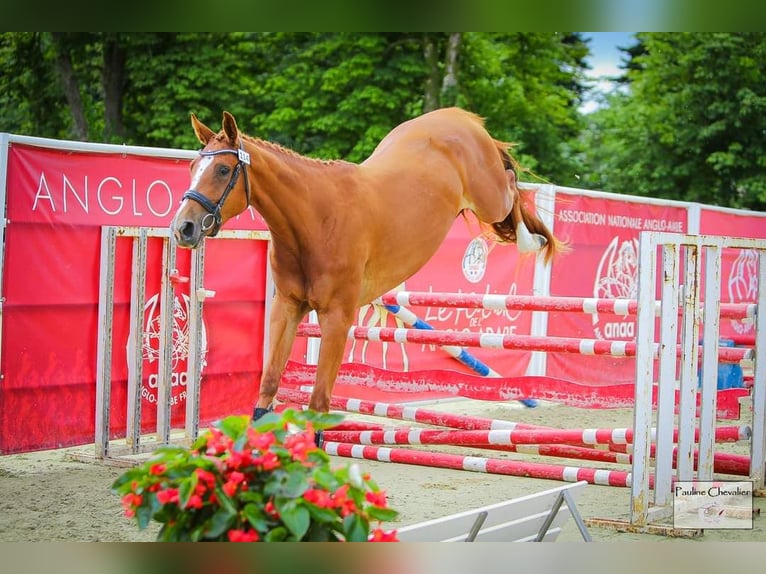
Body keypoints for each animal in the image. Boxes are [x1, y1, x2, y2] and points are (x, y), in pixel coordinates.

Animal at [171, 109, 560, 428]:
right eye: (191, 169)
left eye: (223, 170)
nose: (183, 228)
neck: (314, 219)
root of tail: (460, 117)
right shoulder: (288, 308)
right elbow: (267, 387)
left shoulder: (337, 317)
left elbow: (319, 402)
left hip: (489, 198)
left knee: (511, 187)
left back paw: (531, 240)